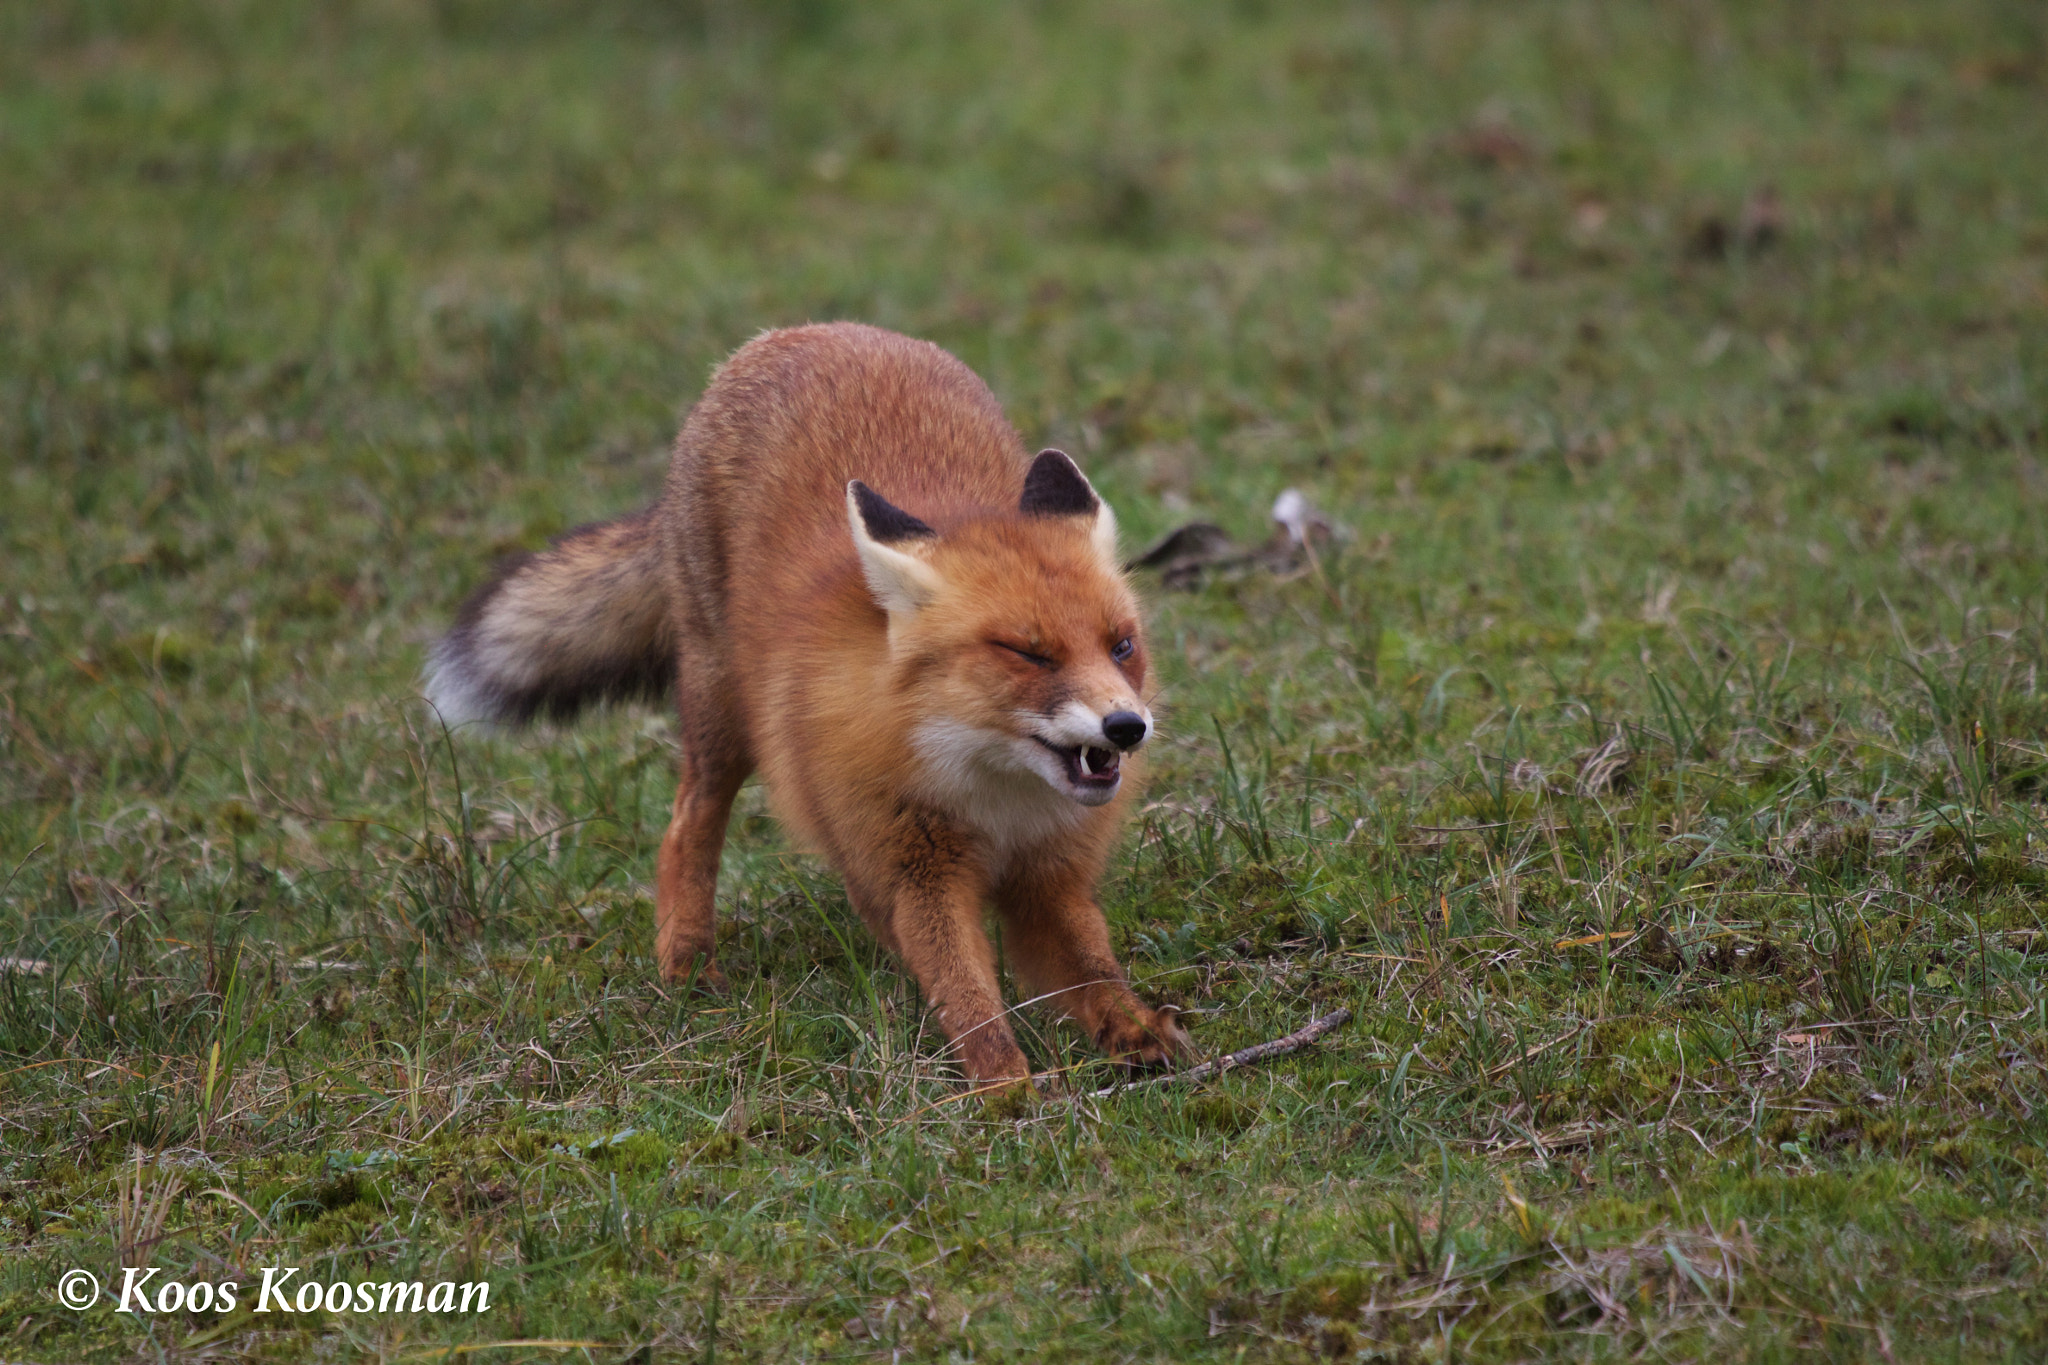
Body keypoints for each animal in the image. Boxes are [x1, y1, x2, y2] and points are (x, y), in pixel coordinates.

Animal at [424, 322, 1192, 1085]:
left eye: (1121, 646)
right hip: (722, 715)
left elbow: (1093, 969)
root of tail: (799, 332)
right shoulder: (914, 871)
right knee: (687, 824)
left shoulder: (1050, 877)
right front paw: (1005, 1087)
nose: (1127, 726)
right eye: (1028, 654)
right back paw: (686, 963)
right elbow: (968, 994)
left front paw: (1134, 1032)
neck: (993, 794)